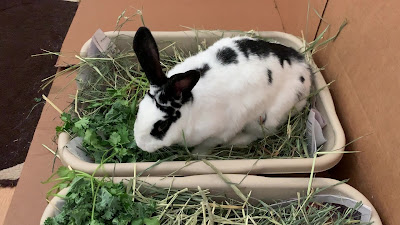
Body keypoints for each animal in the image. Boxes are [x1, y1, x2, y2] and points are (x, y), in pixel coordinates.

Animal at [132, 25, 312, 154]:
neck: (192, 110)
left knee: (257, 134)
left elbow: (206, 146)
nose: (141, 145)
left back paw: (236, 142)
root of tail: (306, 70)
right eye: (139, 108)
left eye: (162, 126)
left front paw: (197, 155)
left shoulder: (220, 133)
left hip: (266, 120)